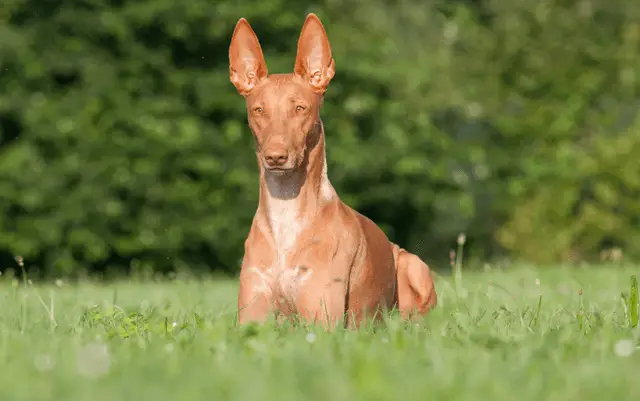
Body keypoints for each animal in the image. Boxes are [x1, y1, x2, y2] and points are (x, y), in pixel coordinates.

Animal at [228, 13, 438, 328]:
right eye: (258, 110)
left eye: (300, 108)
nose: (275, 157)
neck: (286, 213)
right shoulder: (250, 318)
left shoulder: (322, 322)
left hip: (414, 267)